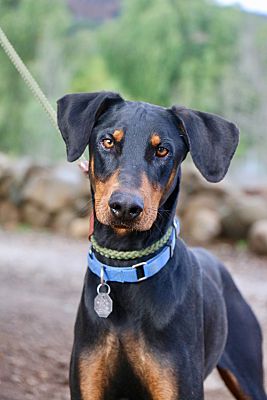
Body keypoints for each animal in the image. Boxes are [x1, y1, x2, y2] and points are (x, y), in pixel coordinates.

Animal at [57, 91, 266, 400]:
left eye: (163, 151)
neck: (126, 268)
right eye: (108, 141)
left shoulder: (178, 386)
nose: (125, 207)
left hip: (248, 374)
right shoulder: (87, 385)